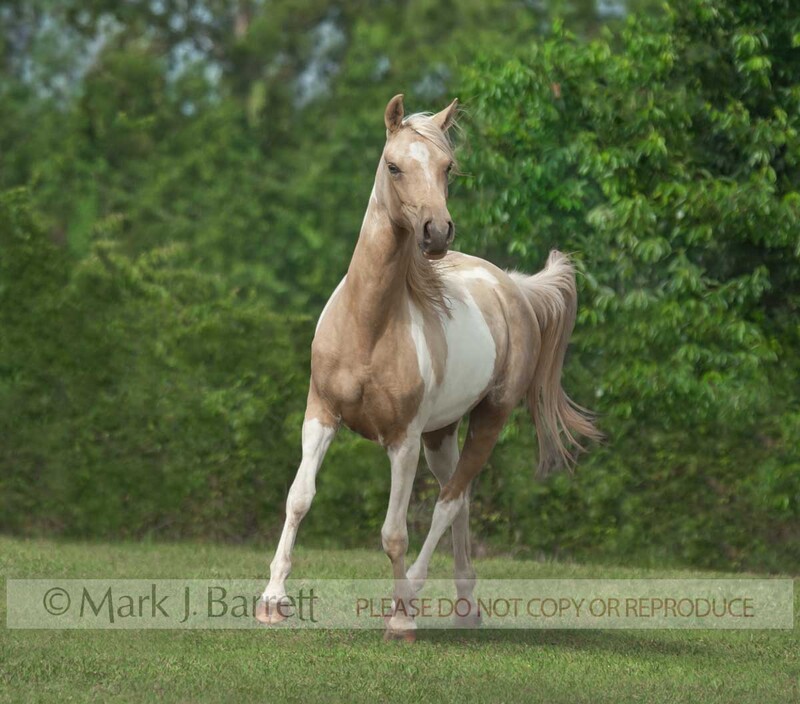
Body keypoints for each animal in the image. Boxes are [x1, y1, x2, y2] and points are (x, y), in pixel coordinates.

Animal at [256, 94, 600, 640]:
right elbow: (299, 498)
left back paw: (417, 598)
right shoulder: (321, 414)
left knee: (449, 500)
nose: (436, 232)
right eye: (394, 166)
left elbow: (394, 531)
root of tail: (514, 288)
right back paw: (465, 606)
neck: (369, 326)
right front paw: (272, 601)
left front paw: (400, 619)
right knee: (458, 496)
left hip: (487, 420)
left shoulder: (404, 440)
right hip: (442, 435)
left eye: (447, 167)